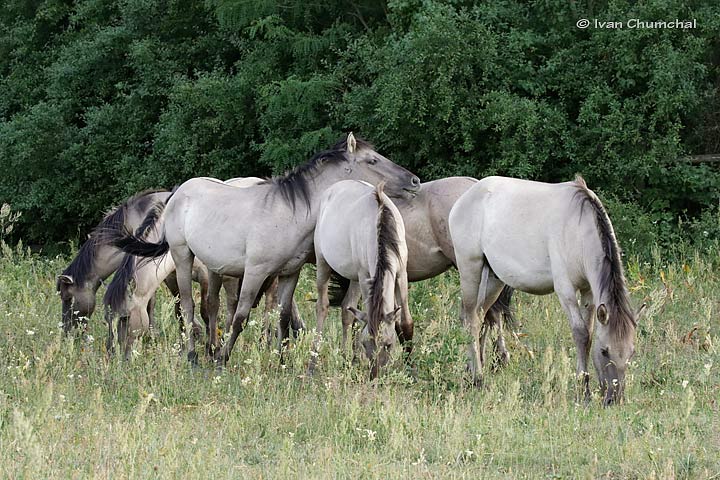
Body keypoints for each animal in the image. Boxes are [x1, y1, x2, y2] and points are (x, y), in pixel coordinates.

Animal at [310, 181, 408, 378]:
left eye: (388, 345)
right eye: (365, 344)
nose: (375, 376)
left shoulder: (401, 274)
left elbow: (405, 324)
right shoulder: (365, 277)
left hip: (353, 276)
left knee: (347, 310)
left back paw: (347, 357)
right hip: (323, 263)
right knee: (322, 306)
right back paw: (314, 362)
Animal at [448, 176, 644, 404]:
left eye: (631, 353)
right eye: (605, 351)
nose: (615, 399)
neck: (578, 229)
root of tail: (465, 197)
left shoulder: (589, 293)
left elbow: (589, 333)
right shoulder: (565, 290)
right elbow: (581, 334)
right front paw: (583, 390)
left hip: (494, 279)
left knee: (479, 317)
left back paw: (472, 371)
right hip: (470, 268)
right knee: (470, 319)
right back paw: (478, 379)